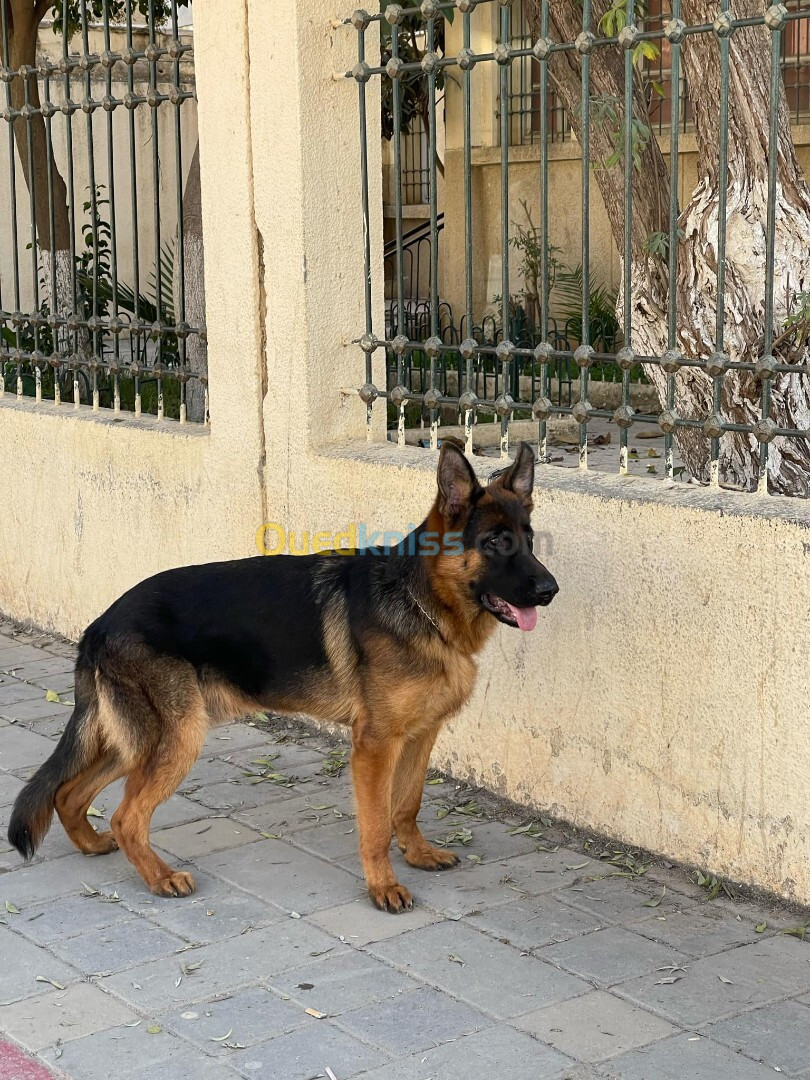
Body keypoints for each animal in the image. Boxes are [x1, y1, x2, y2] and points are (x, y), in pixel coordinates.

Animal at [9, 440, 557, 911]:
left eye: (529, 540)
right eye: (495, 542)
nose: (551, 589)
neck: (422, 603)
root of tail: (100, 623)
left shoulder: (420, 735)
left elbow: (408, 804)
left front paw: (418, 854)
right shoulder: (375, 746)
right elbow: (376, 825)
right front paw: (383, 886)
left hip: (138, 740)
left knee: (68, 793)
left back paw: (93, 845)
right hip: (177, 737)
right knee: (126, 815)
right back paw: (159, 877)